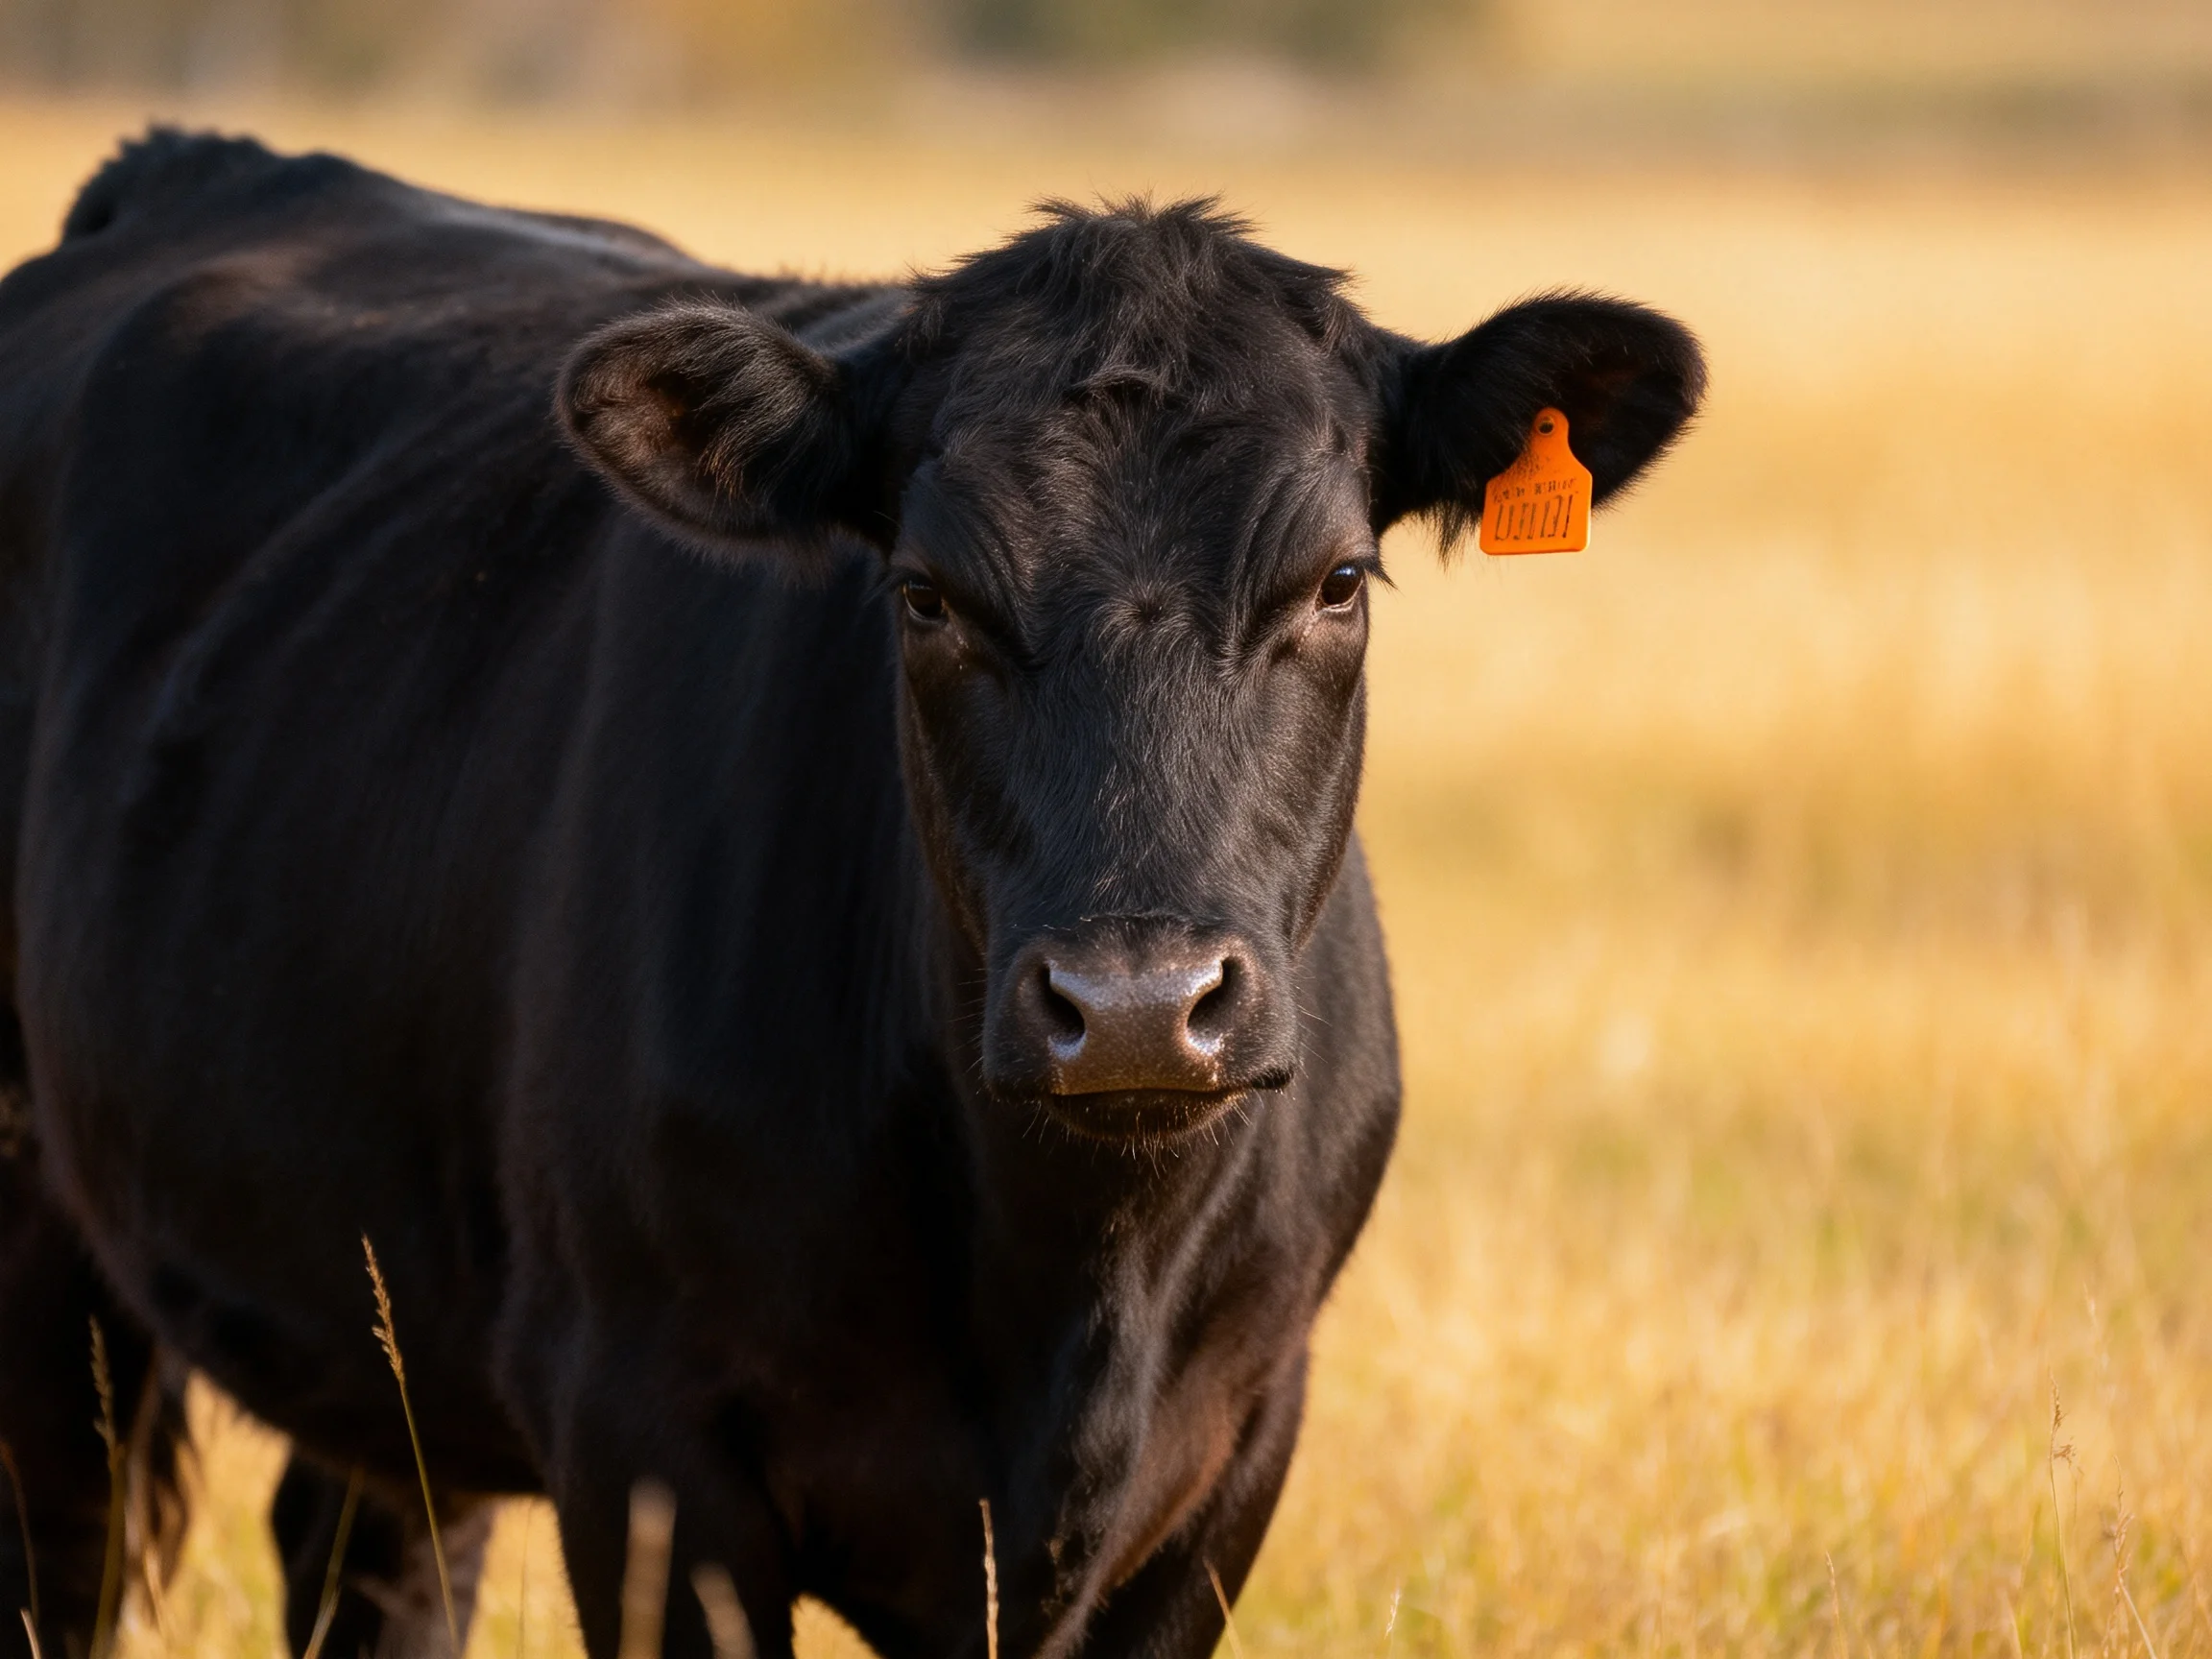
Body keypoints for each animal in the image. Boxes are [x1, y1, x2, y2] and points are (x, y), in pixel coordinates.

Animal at [0, 129, 1703, 1659]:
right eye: (927, 594)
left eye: (1339, 581)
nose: (1138, 1010)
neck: (1073, 1286)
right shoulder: (643, 1439)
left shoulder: (1234, 1452)